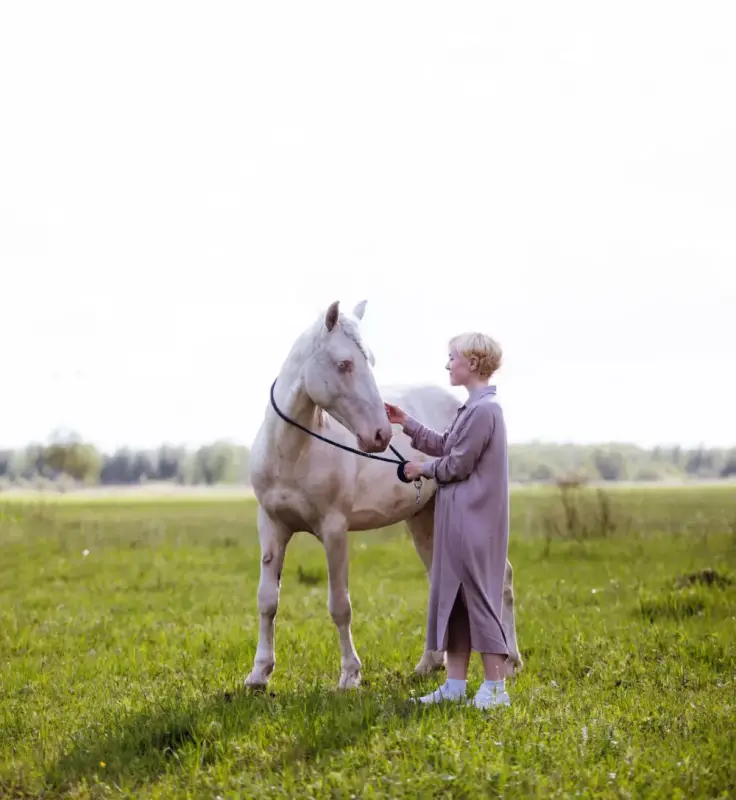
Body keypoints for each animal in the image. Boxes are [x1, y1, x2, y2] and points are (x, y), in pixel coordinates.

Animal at [244, 300, 520, 688]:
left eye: (370, 361)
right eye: (344, 364)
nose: (381, 434)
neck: (294, 452)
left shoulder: (334, 530)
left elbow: (340, 605)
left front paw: (350, 675)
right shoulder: (271, 526)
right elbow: (267, 600)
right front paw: (259, 674)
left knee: (503, 578)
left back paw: (511, 662)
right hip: (423, 519)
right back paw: (429, 663)